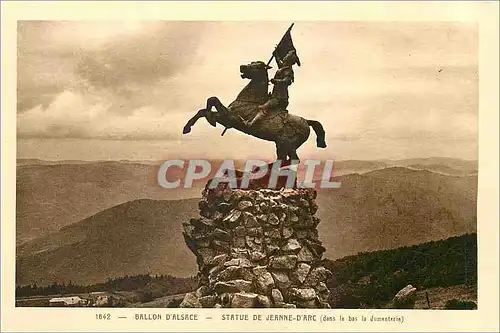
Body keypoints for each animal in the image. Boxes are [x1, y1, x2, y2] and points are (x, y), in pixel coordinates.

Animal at [182, 61, 326, 162]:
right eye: (251, 63)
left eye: (257, 66)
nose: (242, 67)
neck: (250, 100)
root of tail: (306, 122)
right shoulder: (225, 118)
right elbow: (203, 110)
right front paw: (187, 127)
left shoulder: (230, 118)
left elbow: (213, 100)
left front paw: (209, 120)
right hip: (280, 144)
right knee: (283, 159)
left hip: (287, 144)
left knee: (293, 160)